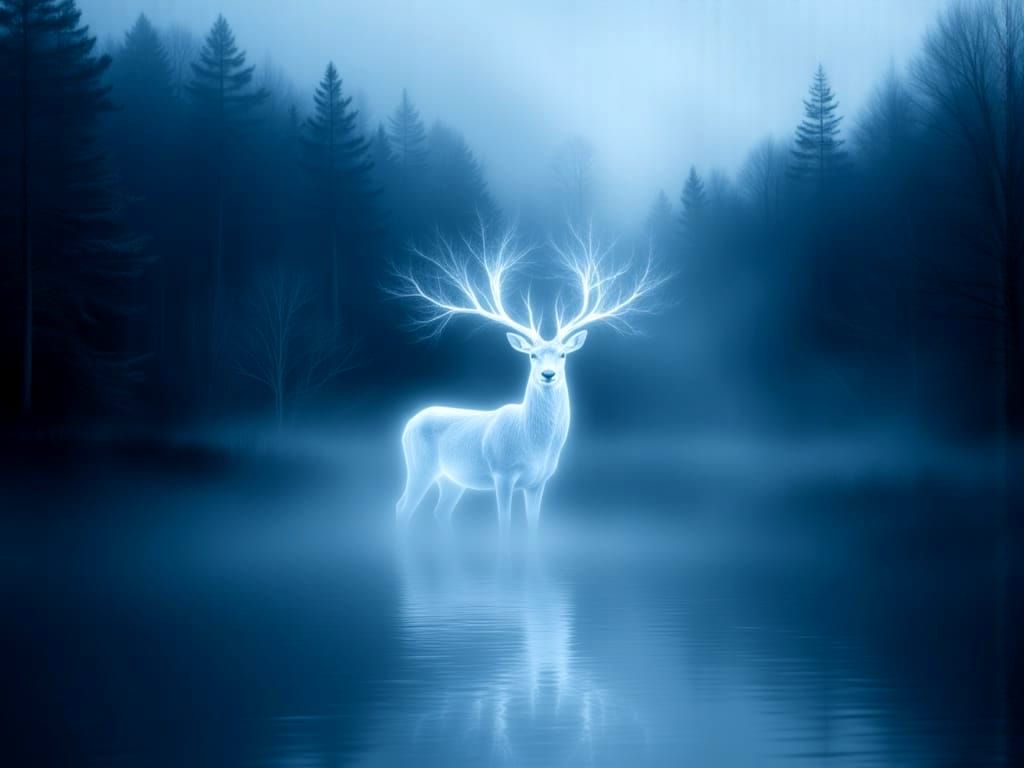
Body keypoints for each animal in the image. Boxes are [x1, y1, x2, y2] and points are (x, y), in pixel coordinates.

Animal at [392, 224, 663, 534]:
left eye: (563, 354)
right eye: (532, 355)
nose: (548, 374)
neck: (531, 442)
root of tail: (408, 422)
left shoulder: (538, 482)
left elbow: (533, 525)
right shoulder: (502, 473)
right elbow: (505, 525)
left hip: (452, 479)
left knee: (440, 512)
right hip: (420, 466)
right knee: (402, 507)